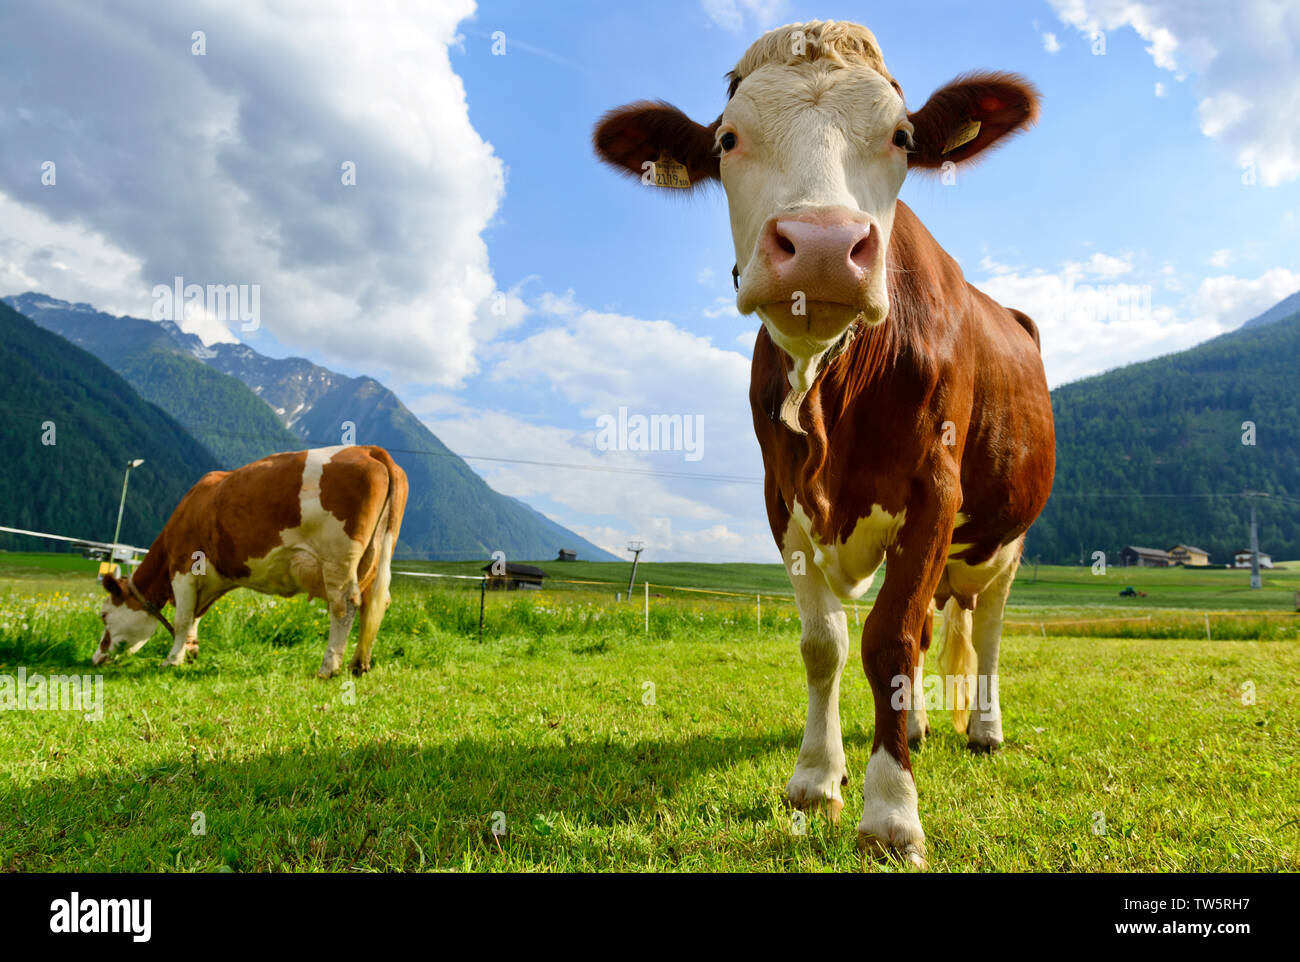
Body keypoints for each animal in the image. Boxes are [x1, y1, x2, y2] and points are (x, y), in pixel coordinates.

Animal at [93, 445, 409, 679]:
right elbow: (195, 616)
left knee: (345, 605)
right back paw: (359, 664)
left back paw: (328, 668)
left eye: (104, 615)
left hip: (338, 561)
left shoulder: (183, 568)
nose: (96, 657)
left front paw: (172, 660)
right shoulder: (208, 579)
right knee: (374, 604)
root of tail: (368, 450)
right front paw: (190, 652)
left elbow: (182, 619)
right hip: (376, 557)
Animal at [594, 20, 1055, 866]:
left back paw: (983, 729)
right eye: (728, 139)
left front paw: (892, 813)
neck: (831, 390)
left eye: (902, 136)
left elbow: (890, 640)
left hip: (1008, 539)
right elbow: (826, 644)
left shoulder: (934, 491)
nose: (818, 243)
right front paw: (816, 778)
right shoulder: (782, 499)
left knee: (990, 630)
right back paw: (916, 727)